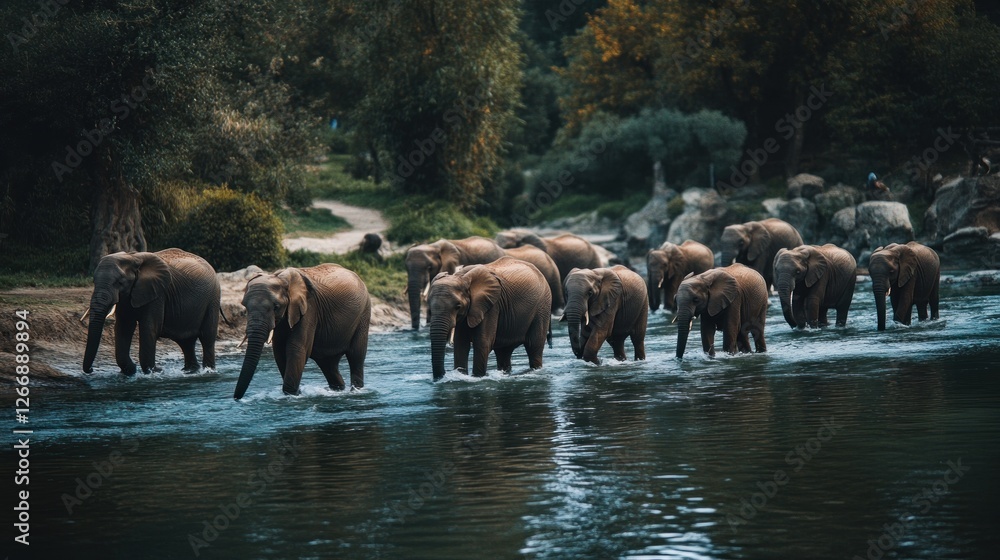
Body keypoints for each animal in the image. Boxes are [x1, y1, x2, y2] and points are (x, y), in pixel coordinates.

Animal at [82, 248, 220, 375]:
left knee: (207, 337)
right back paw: (190, 371)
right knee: (185, 341)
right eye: (94, 282)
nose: (91, 369)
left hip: (212, 300)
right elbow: (124, 327)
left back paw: (208, 371)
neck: (132, 257)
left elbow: (149, 327)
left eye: (119, 282)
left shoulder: (158, 294)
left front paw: (154, 372)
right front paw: (131, 371)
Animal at [234, 264, 371, 399]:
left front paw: (292, 395)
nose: (236, 398)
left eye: (276, 307)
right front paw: (295, 393)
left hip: (364, 313)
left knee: (356, 355)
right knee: (328, 363)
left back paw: (356, 390)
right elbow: (279, 351)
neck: (279, 277)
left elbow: (295, 348)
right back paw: (337, 390)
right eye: (245, 307)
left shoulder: (309, 309)